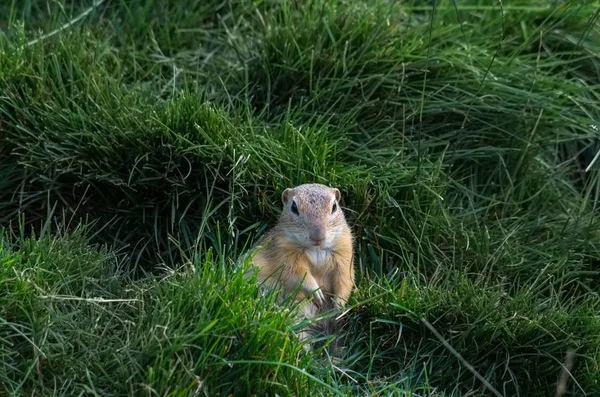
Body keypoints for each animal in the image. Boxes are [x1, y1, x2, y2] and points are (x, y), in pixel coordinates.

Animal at [241, 183, 354, 340]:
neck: (316, 249)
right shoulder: (285, 255)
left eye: (334, 207)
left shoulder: (344, 255)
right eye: (294, 207)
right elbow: (298, 275)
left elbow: (345, 281)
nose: (317, 235)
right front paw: (316, 293)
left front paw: (339, 307)